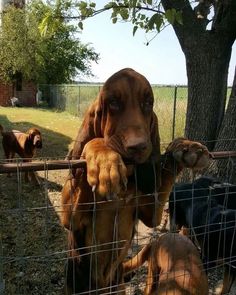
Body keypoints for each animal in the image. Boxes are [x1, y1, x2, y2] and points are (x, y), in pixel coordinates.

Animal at [60, 68, 209, 294]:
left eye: (148, 103)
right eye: (113, 102)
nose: (138, 146)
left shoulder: (152, 214)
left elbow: (166, 177)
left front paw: (186, 147)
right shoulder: (71, 219)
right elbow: (94, 143)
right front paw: (104, 159)